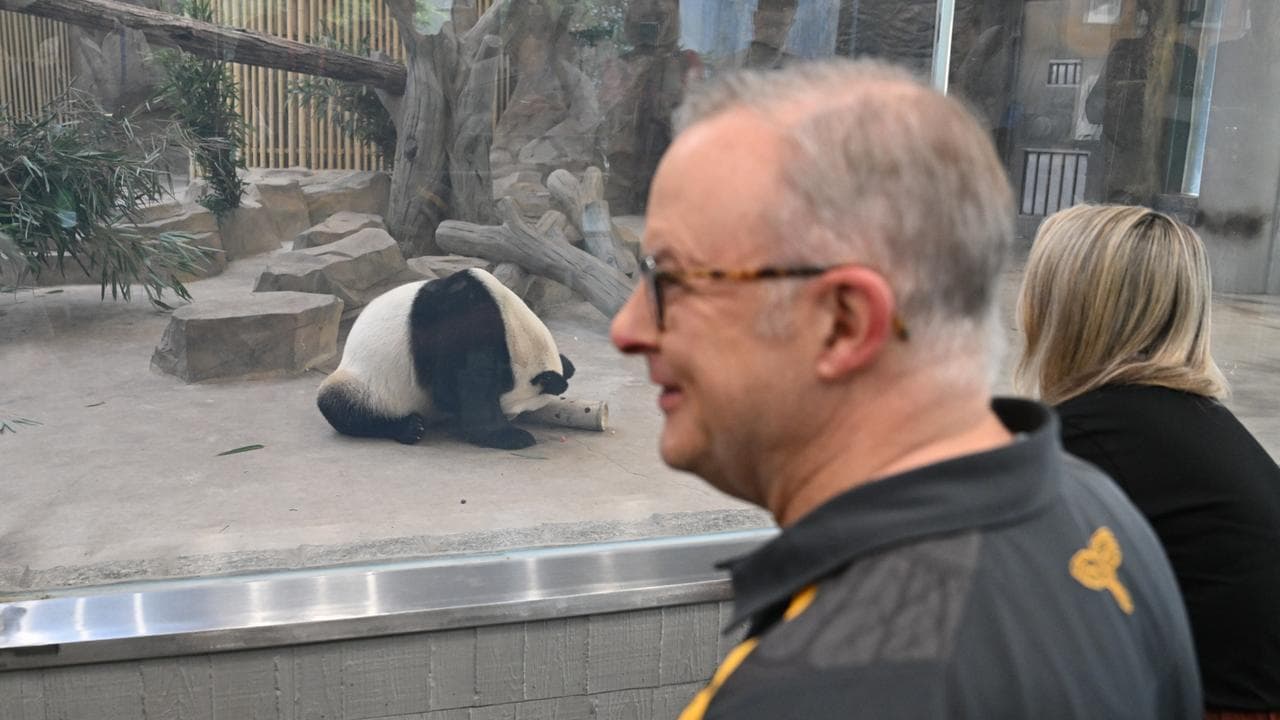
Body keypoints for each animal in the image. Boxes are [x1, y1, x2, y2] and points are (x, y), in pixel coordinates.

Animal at [317, 268, 575, 450]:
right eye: (523, 405)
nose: (513, 417)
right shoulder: (463, 328)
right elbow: (464, 387)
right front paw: (511, 435)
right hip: (364, 383)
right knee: (342, 407)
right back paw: (410, 428)